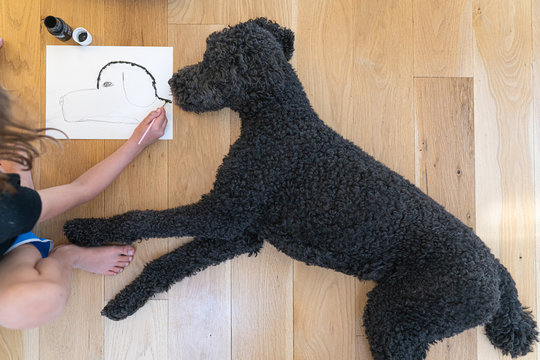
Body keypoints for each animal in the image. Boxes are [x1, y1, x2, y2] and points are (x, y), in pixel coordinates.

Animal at [63, 17, 536, 360]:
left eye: (212, 62)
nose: (174, 82)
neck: (280, 117)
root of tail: (496, 273)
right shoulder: (243, 231)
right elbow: (170, 263)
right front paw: (127, 300)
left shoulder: (224, 211)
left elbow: (145, 219)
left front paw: (89, 230)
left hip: (400, 315)